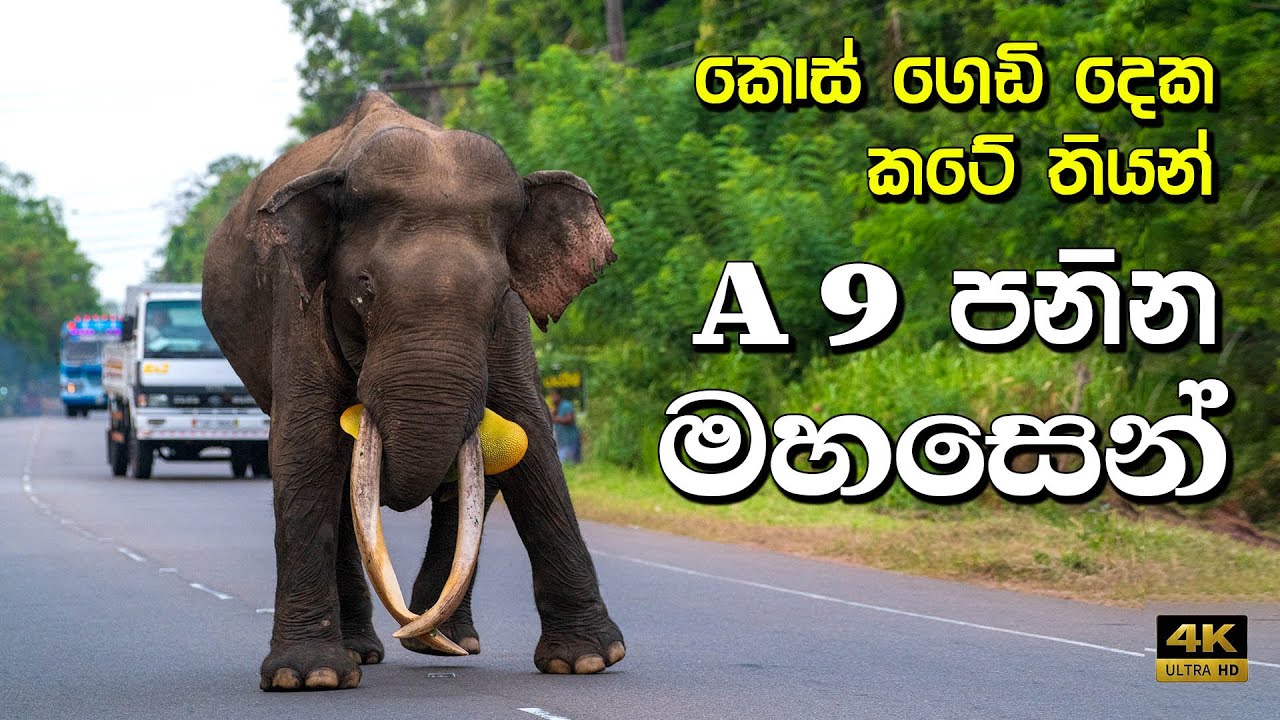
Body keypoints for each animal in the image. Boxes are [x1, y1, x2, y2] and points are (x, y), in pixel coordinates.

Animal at [202, 91, 624, 691]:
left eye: (499, 293)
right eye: (364, 290)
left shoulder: (511, 328)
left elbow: (532, 437)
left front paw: (588, 661)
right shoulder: (297, 302)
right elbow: (304, 448)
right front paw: (306, 678)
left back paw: (446, 640)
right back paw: (364, 652)